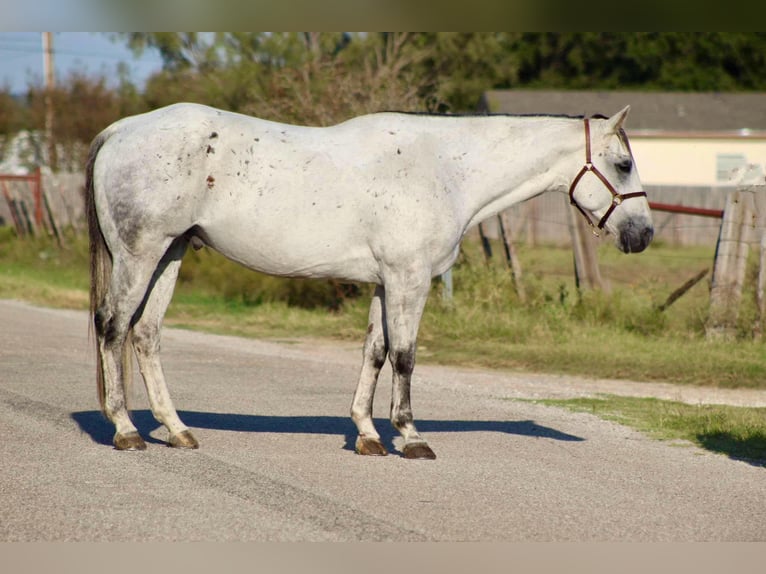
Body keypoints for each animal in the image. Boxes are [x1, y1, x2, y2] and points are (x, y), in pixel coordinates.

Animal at [86, 103, 653, 459]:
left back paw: (177, 430)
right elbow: (405, 356)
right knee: (113, 327)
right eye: (623, 163)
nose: (643, 234)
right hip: (141, 254)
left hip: (171, 253)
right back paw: (126, 430)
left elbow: (374, 353)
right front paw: (411, 437)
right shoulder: (410, 280)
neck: (444, 169)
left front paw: (367, 435)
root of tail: (121, 130)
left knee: (145, 335)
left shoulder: (386, 283)